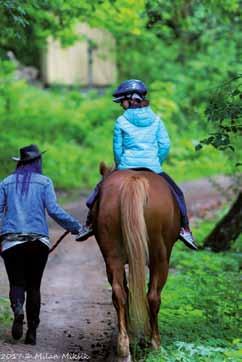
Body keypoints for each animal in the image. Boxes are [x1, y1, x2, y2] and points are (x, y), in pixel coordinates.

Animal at [92, 165, 180, 360]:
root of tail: (133, 180)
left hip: (113, 257)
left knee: (119, 293)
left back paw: (124, 345)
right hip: (160, 259)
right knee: (153, 297)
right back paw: (155, 343)